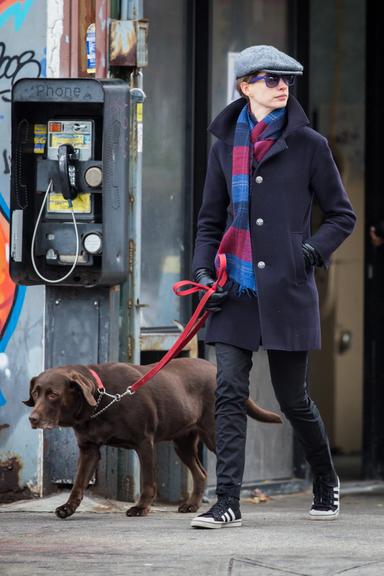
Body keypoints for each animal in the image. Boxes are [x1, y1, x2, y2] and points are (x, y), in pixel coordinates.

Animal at [24, 360, 282, 516]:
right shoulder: (89, 449)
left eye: (53, 394)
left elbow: (148, 480)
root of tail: (213, 367)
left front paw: (141, 507)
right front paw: (68, 507)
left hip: (213, 435)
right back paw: (191, 504)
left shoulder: (144, 443)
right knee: (201, 473)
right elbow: (78, 483)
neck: (102, 399)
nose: (32, 418)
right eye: (35, 393)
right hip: (183, 443)